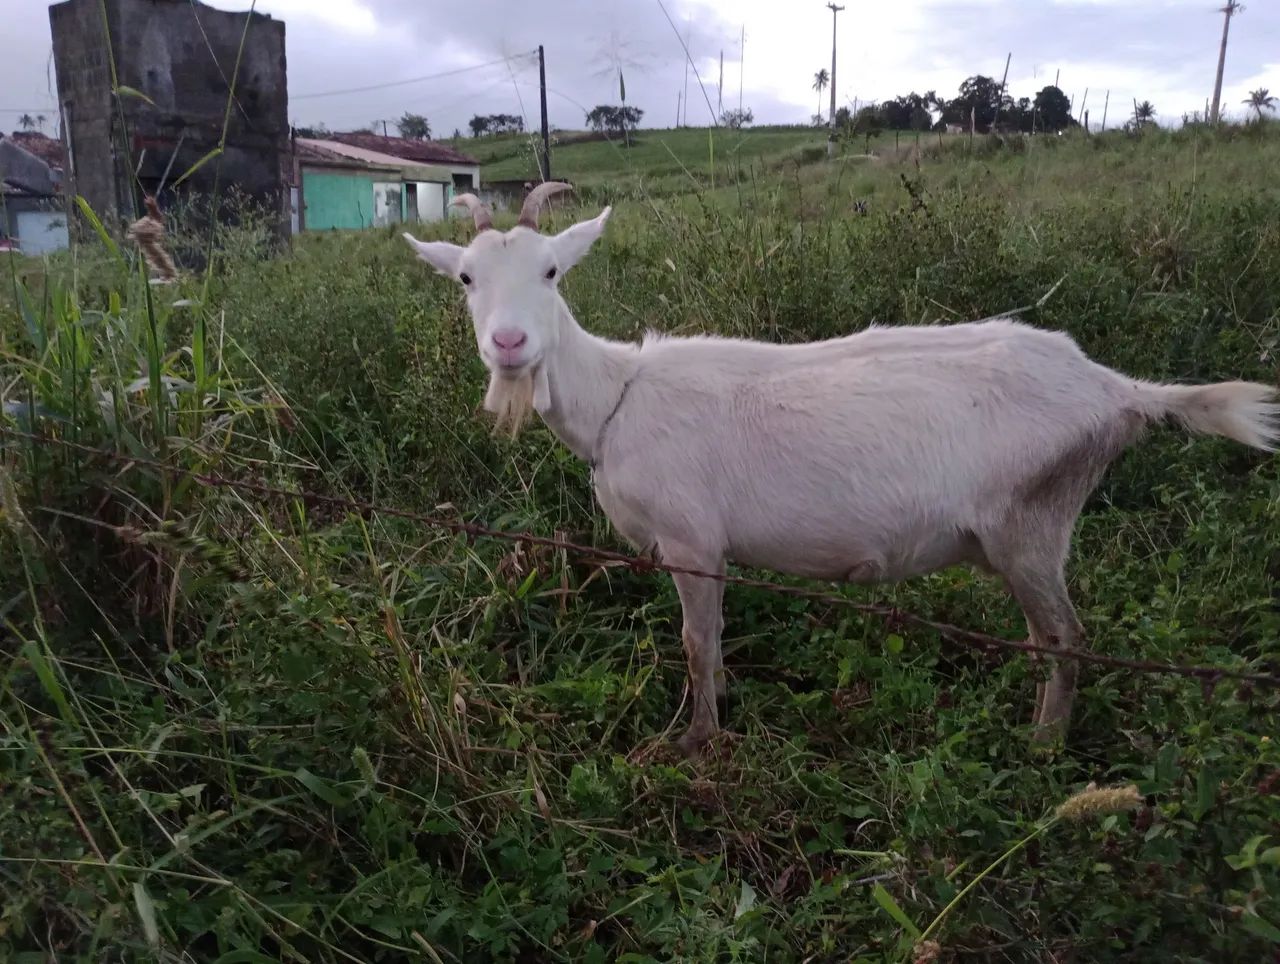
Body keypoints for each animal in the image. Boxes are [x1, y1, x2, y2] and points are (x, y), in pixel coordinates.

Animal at [405, 184, 1280, 755]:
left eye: (552, 272)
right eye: (466, 278)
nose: (509, 344)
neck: (619, 394)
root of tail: (1117, 390)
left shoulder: (692, 542)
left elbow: (697, 640)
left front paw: (696, 741)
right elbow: (713, 641)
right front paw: (720, 706)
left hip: (1030, 520)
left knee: (1064, 637)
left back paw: (1042, 747)